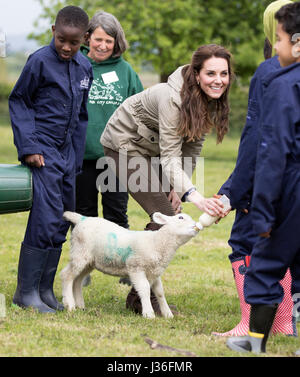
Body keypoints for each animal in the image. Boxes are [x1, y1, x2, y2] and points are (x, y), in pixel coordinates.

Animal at [60, 212, 202, 318]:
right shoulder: (136, 267)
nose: (196, 226)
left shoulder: (155, 272)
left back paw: (80, 305)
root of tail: (81, 219)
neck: (157, 243)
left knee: (77, 280)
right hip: (80, 252)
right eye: (181, 217)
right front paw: (148, 313)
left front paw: (167, 313)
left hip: (90, 261)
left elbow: (160, 292)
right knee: (66, 275)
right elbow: (145, 289)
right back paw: (70, 305)